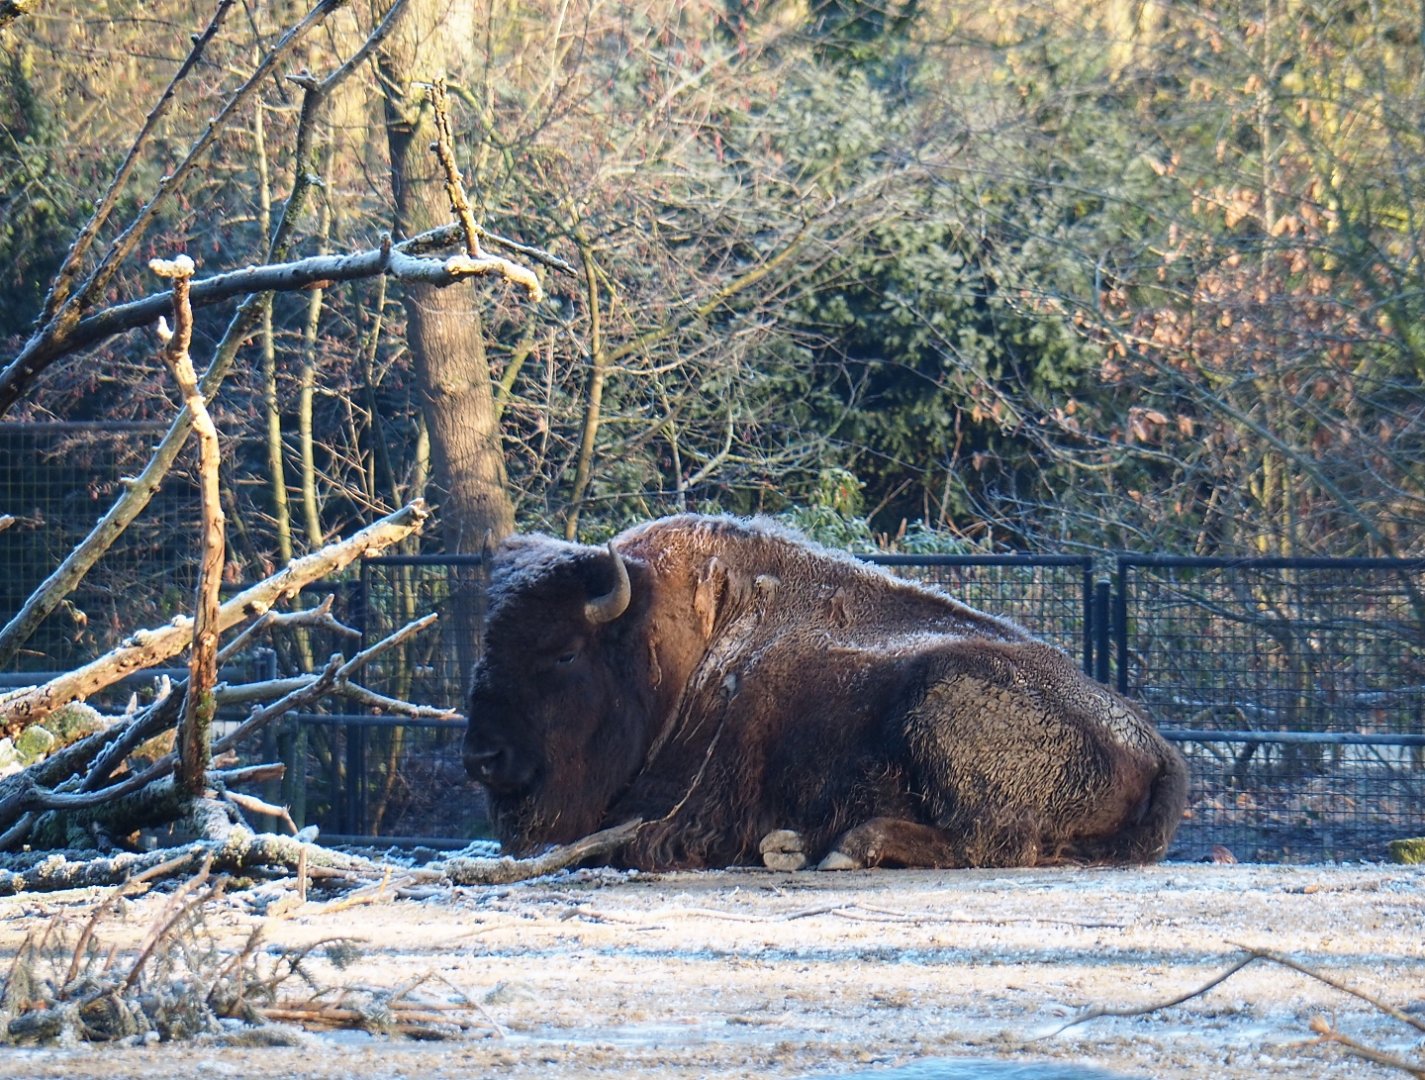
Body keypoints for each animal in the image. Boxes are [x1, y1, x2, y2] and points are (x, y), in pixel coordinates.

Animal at [462, 514, 1187, 870]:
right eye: (485, 648)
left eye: (564, 652)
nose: (482, 758)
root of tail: (1157, 747)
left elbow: (632, 840)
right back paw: (797, 846)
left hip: (938, 699)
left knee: (995, 842)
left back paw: (842, 848)